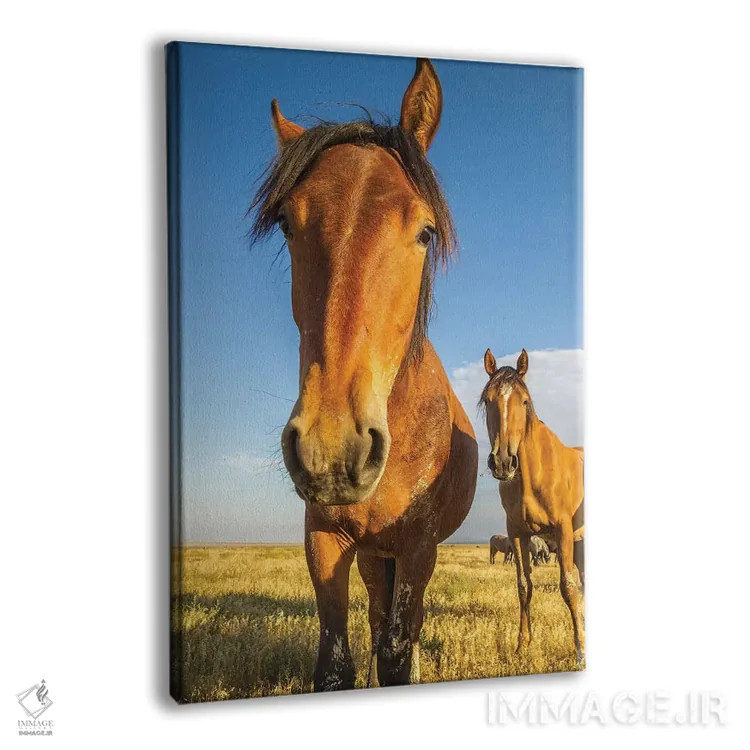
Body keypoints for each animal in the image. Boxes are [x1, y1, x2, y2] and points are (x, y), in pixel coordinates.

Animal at [250, 59, 478, 691]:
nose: (333, 449)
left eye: (425, 231)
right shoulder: (324, 540)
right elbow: (336, 664)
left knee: (406, 627)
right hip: (376, 557)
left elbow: (399, 652)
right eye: (287, 223)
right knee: (377, 617)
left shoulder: (419, 547)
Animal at [480, 348, 585, 661]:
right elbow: (524, 586)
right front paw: (522, 645)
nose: (503, 462)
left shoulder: (563, 530)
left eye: (524, 401)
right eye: (488, 400)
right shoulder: (517, 533)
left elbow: (568, 587)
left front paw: (580, 649)